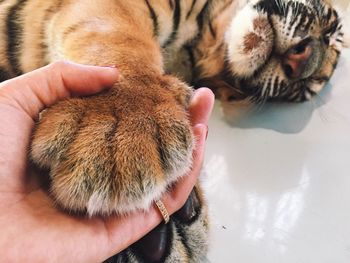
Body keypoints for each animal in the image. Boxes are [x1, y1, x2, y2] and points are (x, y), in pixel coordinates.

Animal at [0, 0, 344, 262]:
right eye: (329, 30)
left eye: (300, 89)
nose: (300, 65)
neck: (204, 44)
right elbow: (118, 38)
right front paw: (115, 138)